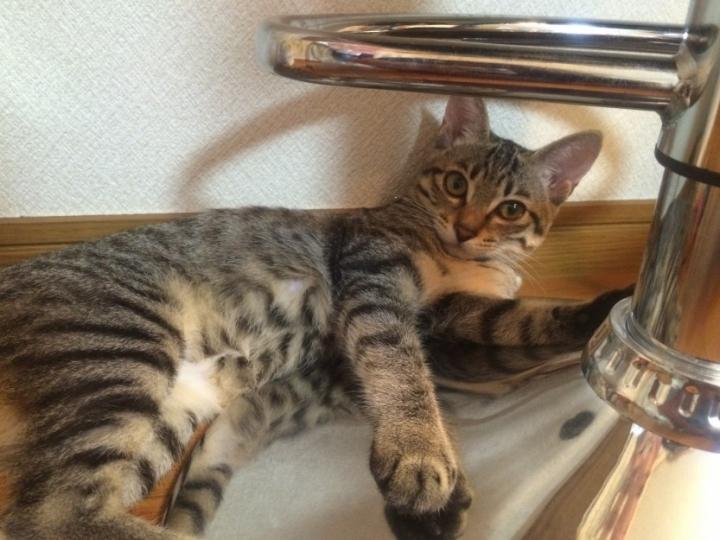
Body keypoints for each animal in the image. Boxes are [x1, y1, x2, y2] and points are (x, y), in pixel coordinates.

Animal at [0, 96, 630, 540]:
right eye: (456, 183)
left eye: (511, 209)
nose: (468, 227)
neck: (459, 261)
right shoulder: (375, 276)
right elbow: (399, 367)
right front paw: (422, 453)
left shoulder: (451, 315)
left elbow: (524, 319)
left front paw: (604, 309)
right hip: (122, 345)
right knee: (49, 516)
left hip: (164, 409)